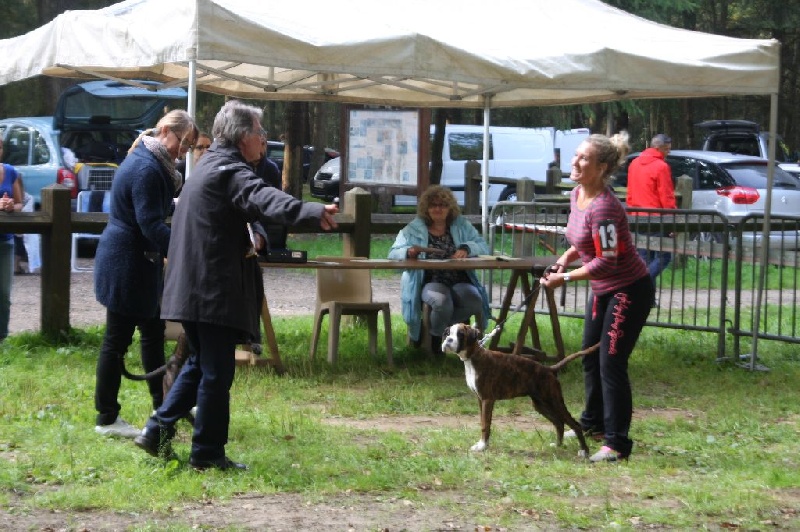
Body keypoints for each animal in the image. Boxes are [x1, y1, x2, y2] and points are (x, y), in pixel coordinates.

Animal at [440, 322, 596, 460]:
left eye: (460, 334)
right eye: (447, 333)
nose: (448, 340)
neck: (474, 357)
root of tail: (549, 369)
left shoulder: (487, 400)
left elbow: (485, 424)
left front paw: (482, 446)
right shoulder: (480, 400)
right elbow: (483, 422)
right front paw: (483, 444)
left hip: (554, 402)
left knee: (574, 425)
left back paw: (584, 451)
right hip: (541, 404)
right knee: (559, 423)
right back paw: (558, 445)